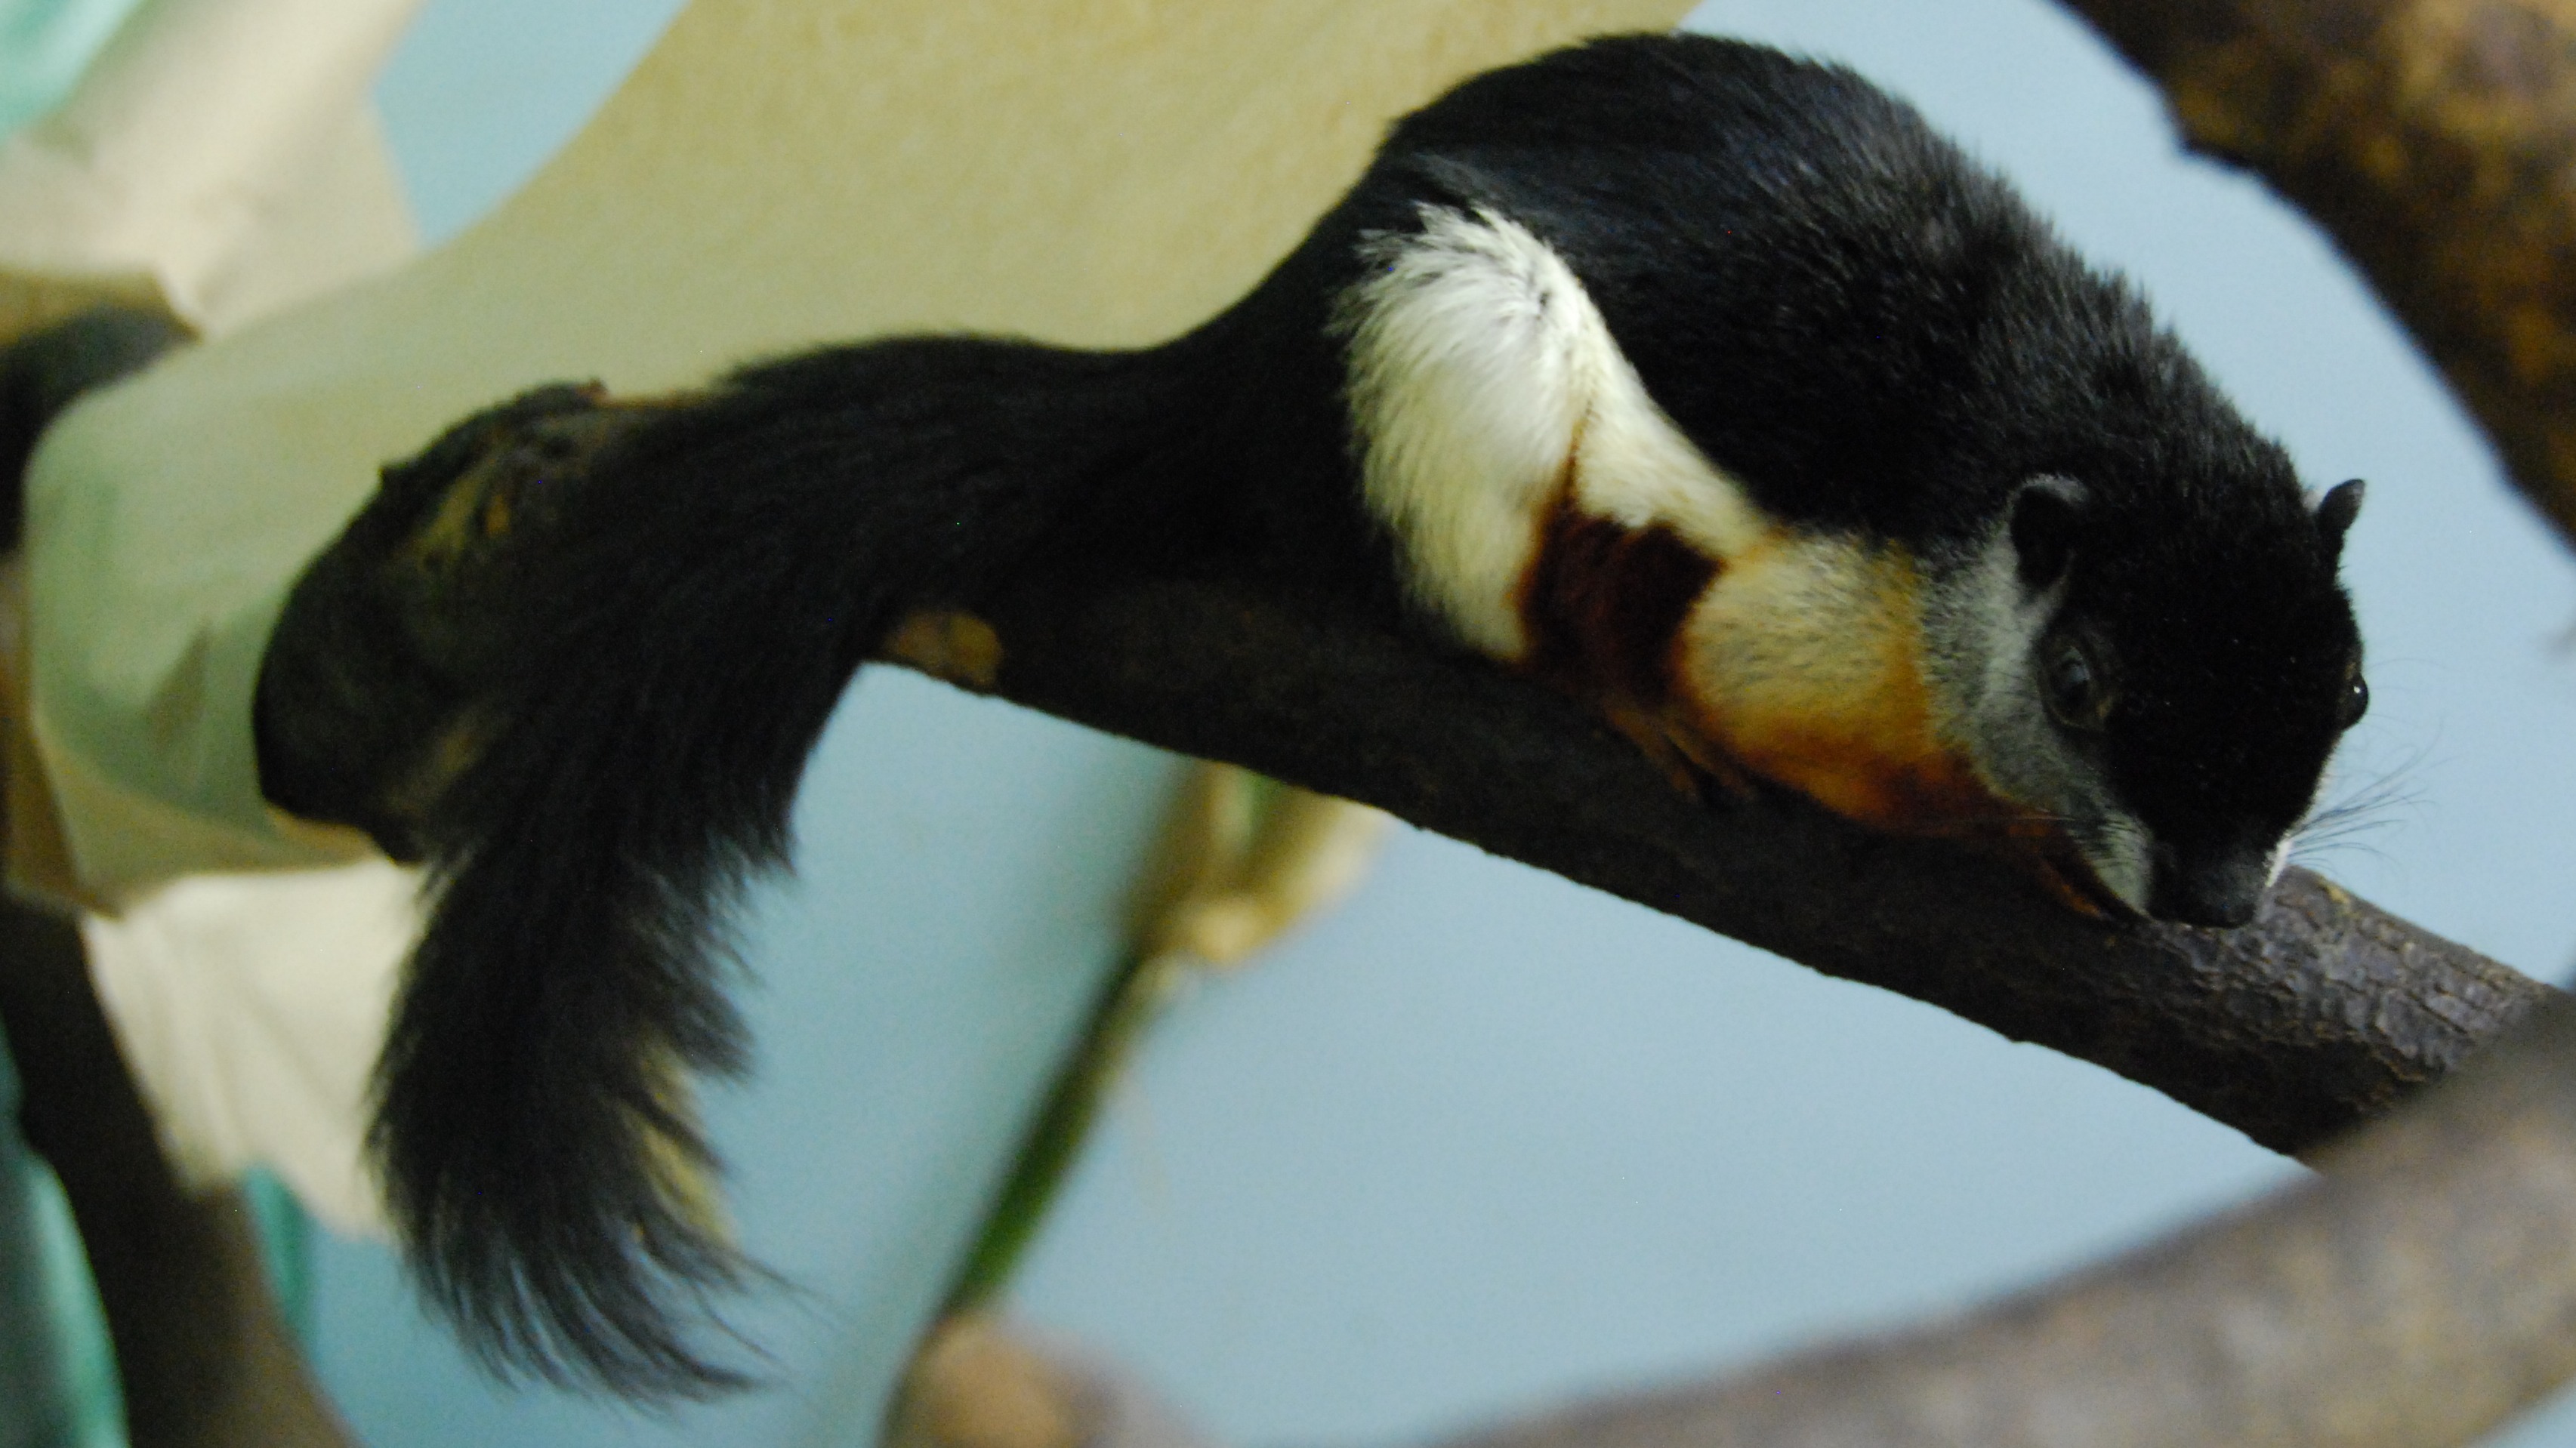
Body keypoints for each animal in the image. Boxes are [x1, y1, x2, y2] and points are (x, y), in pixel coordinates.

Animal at [253, 32, 2367, 1397]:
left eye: (2347, 692)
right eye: (2085, 687)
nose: (2213, 897)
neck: (2017, 432)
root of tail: (1246, 348)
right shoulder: (1796, 594)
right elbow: (1783, 712)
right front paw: (1996, 826)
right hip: (1442, 324)